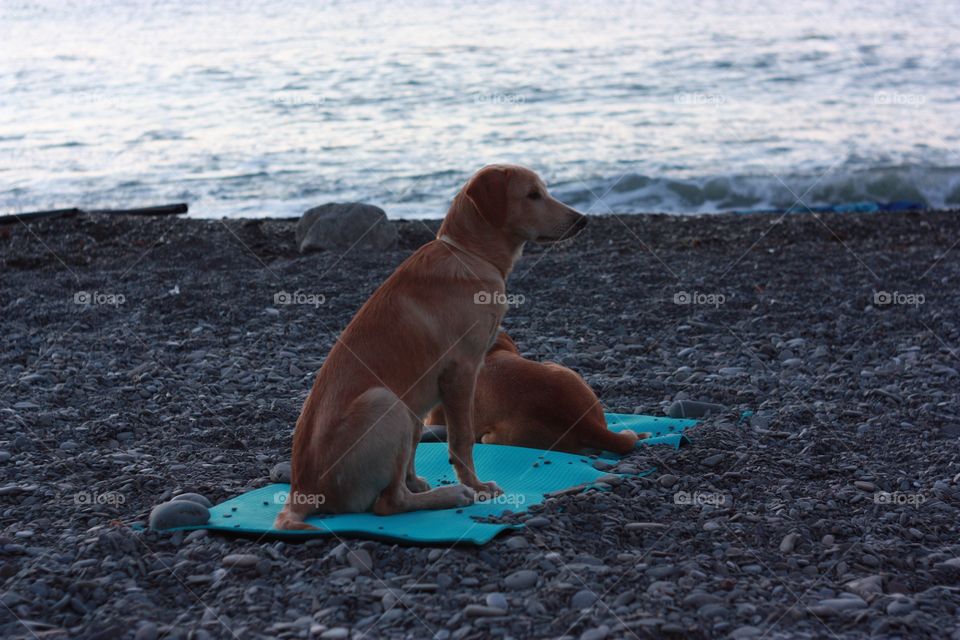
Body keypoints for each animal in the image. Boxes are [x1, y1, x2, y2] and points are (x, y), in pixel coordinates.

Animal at [274, 165, 588, 528]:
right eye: (533, 195)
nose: (583, 220)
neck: (470, 255)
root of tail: (303, 491)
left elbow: (420, 449)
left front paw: (426, 481)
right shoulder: (462, 371)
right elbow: (462, 440)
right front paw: (477, 487)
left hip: (405, 407)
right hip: (386, 402)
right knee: (389, 503)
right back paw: (451, 495)